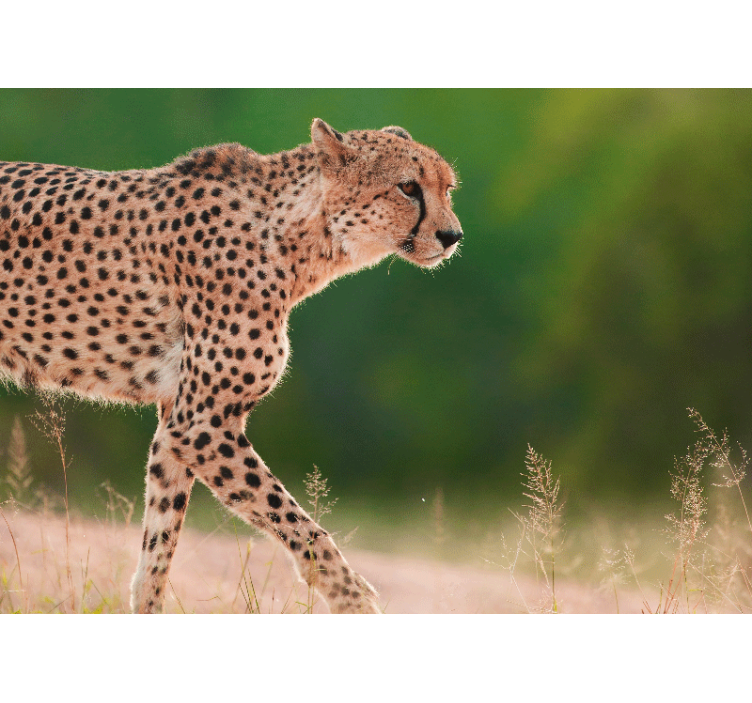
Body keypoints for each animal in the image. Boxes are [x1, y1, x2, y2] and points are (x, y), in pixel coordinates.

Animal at [0, 118, 463, 613]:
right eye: (408, 187)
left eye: (447, 188)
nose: (452, 236)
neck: (295, 236)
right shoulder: (201, 424)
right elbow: (303, 527)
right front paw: (353, 600)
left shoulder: (175, 423)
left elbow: (158, 548)